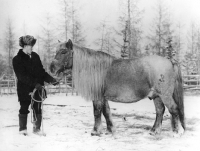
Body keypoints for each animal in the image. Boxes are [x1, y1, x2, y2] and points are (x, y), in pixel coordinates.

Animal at [49, 39, 184, 137]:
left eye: (63, 52)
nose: (51, 68)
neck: (95, 68)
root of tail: (170, 62)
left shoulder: (97, 97)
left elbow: (97, 112)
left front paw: (95, 131)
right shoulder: (103, 97)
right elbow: (106, 112)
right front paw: (110, 130)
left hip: (165, 95)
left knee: (173, 109)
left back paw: (177, 132)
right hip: (156, 96)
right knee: (160, 111)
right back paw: (154, 131)